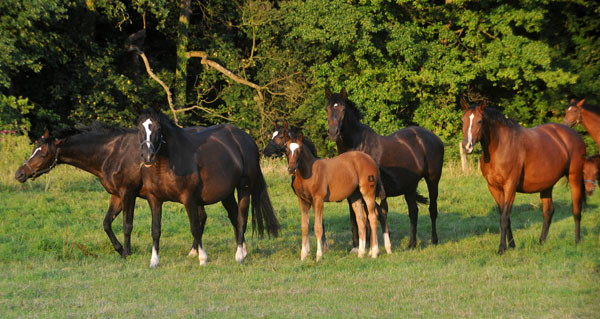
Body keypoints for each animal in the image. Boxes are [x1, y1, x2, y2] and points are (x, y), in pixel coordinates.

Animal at [13, 124, 204, 258]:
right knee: (202, 218)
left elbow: (127, 225)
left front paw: (127, 252)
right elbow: (106, 223)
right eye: (34, 150)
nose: (19, 174)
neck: (112, 153)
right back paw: (194, 250)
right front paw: (119, 249)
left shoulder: (128, 194)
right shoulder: (116, 196)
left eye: (44, 154)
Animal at [137, 107, 280, 268]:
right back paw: (243, 250)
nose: (147, 156)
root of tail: (246, 139)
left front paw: (202, 259)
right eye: (139, 128)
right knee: (234, 217)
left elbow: (195, 228)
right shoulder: (154, 200)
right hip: (227, 194)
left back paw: (239, 256)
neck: (165, 165)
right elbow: (156, 230)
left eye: (158, 129)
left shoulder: (188, 199)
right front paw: (154, 261)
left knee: (241, 219)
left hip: (244, 188)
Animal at [282, 131, 384, 262]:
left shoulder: (318, 200)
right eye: (286, 149)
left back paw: (374, 252)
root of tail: (370, 159)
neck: (309, 172)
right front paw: (303, 256)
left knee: (372, 217)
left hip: (368, 193)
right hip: (355, 196)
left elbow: (318, 227)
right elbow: (304, 227)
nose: (291, 169)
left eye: (299, 149)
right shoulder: (303, 201)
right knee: (361, 220)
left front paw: (319, 256)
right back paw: (361, 253)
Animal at [324, 87, 446, 250]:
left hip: (432, 180)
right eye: (327, 109)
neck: (357, 147)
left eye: (343, 109)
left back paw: (434, 240)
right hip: (410, 186)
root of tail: (435, 138)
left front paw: (369, 245)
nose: (333, 132)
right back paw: (412, 244)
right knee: (413, 212)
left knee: (432, 209)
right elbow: (354, 218)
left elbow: (368, 217)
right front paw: (356, 246)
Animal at [460, 101, 584, 254]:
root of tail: (575, 134)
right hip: (546, 185)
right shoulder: (494, 188)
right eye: (463, 121)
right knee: (548, 212)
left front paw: (502, 248)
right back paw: (541, 242)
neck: (499, 147)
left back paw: (577, 241)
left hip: (574, 177)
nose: (466, 146)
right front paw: (512, 244)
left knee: (576, 210)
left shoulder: (510, 186)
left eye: (479, 121)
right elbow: (505, 216)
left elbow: (504, 218)